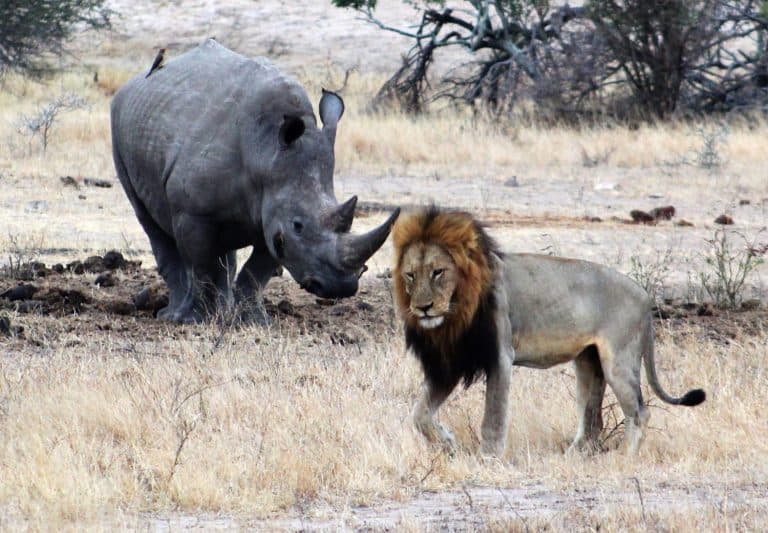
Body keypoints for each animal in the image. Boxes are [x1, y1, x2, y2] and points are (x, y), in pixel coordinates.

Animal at [110, 39, 399, 323]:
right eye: (298, 226)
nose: (340, 288)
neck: (266, 154)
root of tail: (131, 85)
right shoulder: (193, 214)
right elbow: (201, 266)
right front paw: (192, 321)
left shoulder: (272, 214)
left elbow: (256, 272)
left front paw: (253, 321)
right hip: (119, 121)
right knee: (150, 222)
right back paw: (172, 315)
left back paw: (223, 311)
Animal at [391, 207, 705, 456]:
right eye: (410, 275)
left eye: (438, 272)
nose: (423, 308)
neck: (457, 310)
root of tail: (645, 297)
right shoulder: (452, 362)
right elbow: (418, 414)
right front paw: (448, 443)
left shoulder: (500, 356)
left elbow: (493, 417)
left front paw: (488, 459)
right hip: (588, 362)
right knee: (592, 420)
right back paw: (572, 457)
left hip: (619, 361)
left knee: (640, 411)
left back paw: (624, 458)